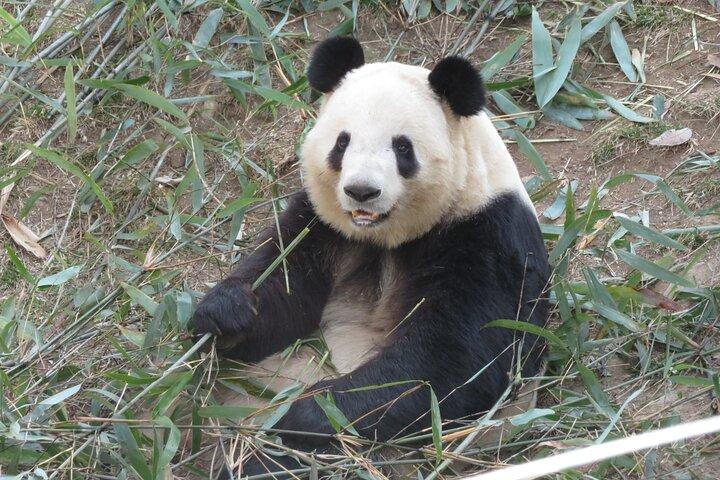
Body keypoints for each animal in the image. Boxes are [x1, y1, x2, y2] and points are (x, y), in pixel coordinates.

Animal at [190, 36, 551, 478]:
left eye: (402, 147)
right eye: (342, 142)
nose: (362, 191)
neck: (384, 236)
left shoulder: (487, 236)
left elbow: (452, 363)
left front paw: (311, 415)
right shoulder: (324, 225)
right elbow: (286, 284)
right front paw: (227, 312)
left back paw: (263, 457)